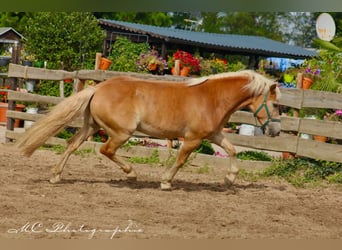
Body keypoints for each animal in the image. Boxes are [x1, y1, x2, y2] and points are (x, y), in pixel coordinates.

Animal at [16, 70, 280, 189]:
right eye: (277, 104)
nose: (276, 132)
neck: (212, 98)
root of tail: (98, 88)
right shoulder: (193, 139)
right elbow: (181, 160)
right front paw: (165, 182)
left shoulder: (213, 135)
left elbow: (233, 150)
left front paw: (230, 177)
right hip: (121, 133)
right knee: (106, 150)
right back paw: (131, 174)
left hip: (91, 127)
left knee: (72, 145)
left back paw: (55, 176)